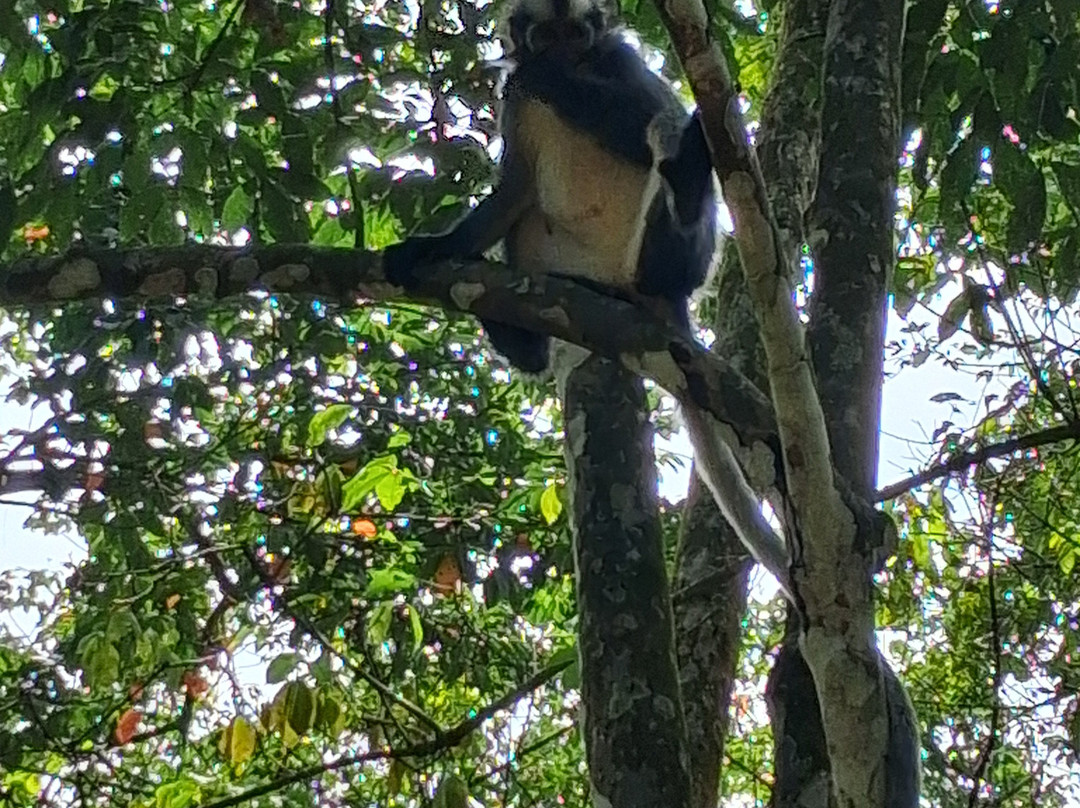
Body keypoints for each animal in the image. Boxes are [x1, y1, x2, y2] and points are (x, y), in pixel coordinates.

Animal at [383, 0, 718, 373]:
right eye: (546, 36)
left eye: (573, 35)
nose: (559, 56)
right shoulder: (515, 100)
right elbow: (515, 189)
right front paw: (437, 247)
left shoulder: (619, 57)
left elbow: (651, 117)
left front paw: (548, 75)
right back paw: (526, 344)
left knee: (667, 126)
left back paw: (684, 195)